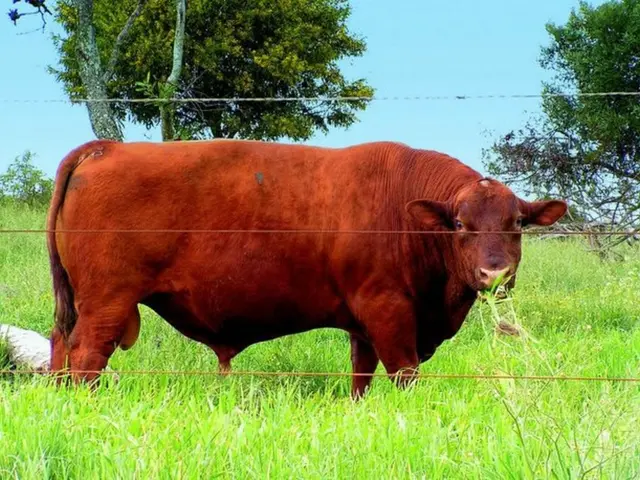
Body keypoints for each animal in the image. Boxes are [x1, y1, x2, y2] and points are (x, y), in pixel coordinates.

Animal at [46, 139, 567, 398]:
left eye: (517, 223)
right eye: (459, 224)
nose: (494, 275)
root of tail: (107, 147)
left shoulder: (365, 323)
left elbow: (361, 375)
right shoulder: (389, 311)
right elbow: (404, 372)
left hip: (80, 301)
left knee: (60, 344)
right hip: (108, 301)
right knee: (87, 355)